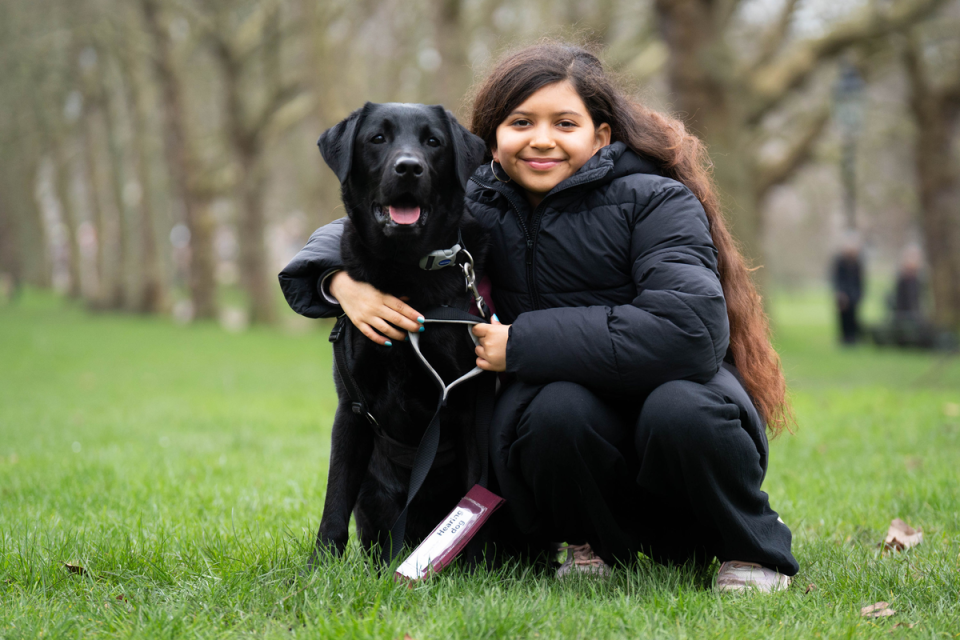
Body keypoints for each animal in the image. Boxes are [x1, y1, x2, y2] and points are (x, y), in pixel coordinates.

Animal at [316, 102, 492, 564]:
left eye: (433, 141)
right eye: (377, 138)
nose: (409, 167)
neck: (405, 272)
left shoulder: (467, 404)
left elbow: (473, 487)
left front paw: (474, 569)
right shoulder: (352, 408)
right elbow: (334, 500)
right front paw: (317, 568)